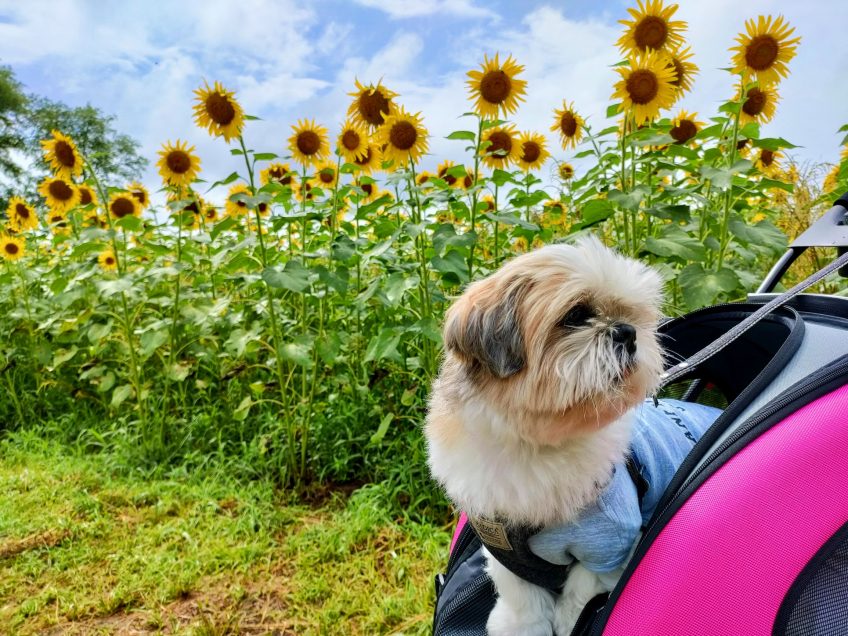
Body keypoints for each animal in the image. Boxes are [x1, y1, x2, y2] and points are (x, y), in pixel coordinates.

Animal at [428, 238, 672, 636]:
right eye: (576, 315)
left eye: (633, 316)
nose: (627, 331)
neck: (534, 444)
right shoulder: (501, 543)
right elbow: (522, 597)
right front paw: (521, 626)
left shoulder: (610, 544)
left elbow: (581, 592)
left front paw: (571, 621)